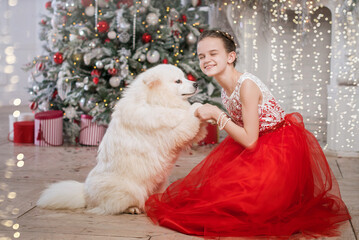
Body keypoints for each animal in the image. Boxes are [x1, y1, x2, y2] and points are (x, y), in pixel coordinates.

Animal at [37, 64, 207, 215]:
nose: (197, 83)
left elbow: (199, 130)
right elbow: (188, 118)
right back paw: (133, 209)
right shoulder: (175, 132)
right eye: (178, 81)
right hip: (130, 190)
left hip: (160, 183)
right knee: (116, 206)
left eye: (185, 77)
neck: (154, 102)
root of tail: (85, 195)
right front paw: (198, 106)